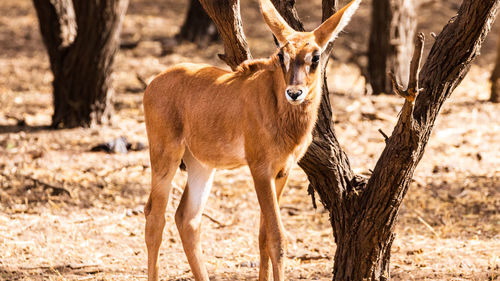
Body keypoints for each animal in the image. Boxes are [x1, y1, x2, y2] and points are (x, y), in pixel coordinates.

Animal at [144, 0, 360, 278]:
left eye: (315, 56)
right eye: (281, 55)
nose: (294, 93)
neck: (277, 106)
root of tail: (153, 84)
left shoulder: (282, 172)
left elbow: (263, 236)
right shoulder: (260, 169)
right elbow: (277, 238)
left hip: (201, 164)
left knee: (187, 218)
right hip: (165, 156)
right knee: (154, 218)